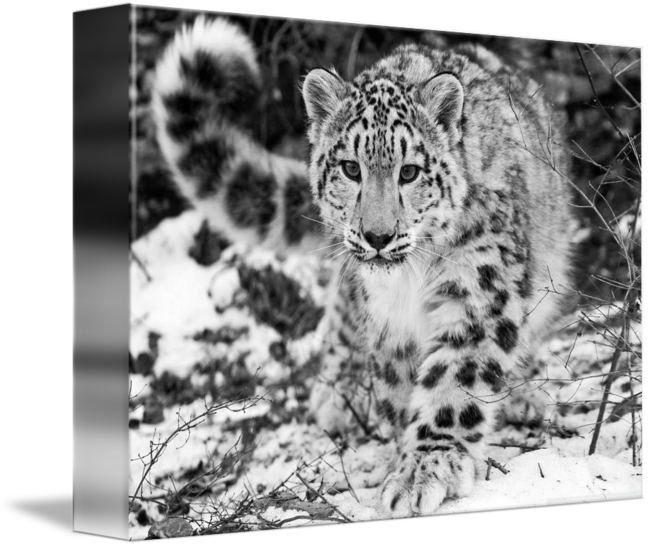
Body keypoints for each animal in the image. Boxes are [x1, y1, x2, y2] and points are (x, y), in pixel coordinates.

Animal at [151, 15, 575, 517]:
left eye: (409, 172)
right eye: (351, 168)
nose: (377, 236)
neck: (410, 283)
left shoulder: (477, 290)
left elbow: (455, 379)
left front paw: (425, 469)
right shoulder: (388, 323)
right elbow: (399, 389)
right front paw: (402, 457)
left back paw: (524, 397)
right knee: (341, 313)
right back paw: (338, 394)